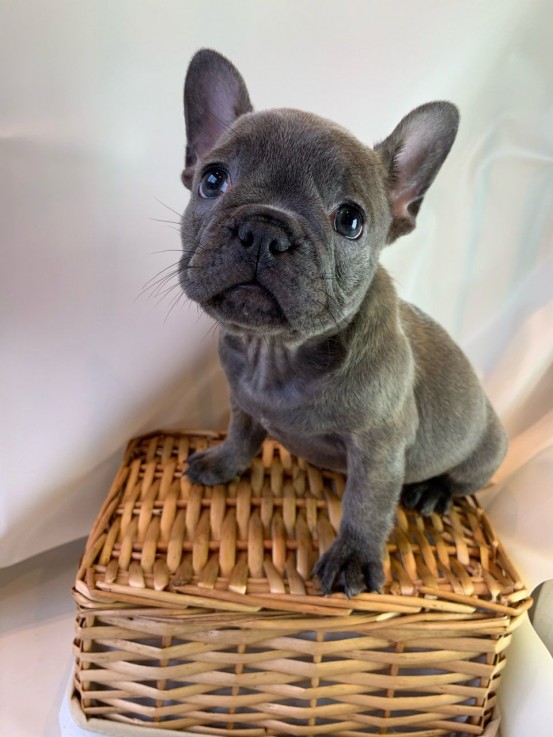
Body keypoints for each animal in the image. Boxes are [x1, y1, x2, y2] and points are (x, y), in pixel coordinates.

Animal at [177, 47, 504, 600]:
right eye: (212, 180)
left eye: (350, 220)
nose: (264, 229)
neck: (276, 354)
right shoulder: (242, 402)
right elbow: (242, 434)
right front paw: (223, 462)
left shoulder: (379, 448)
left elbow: (365, 505)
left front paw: (352, 556)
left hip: (487, 446)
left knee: (463, 480)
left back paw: (434, 491)